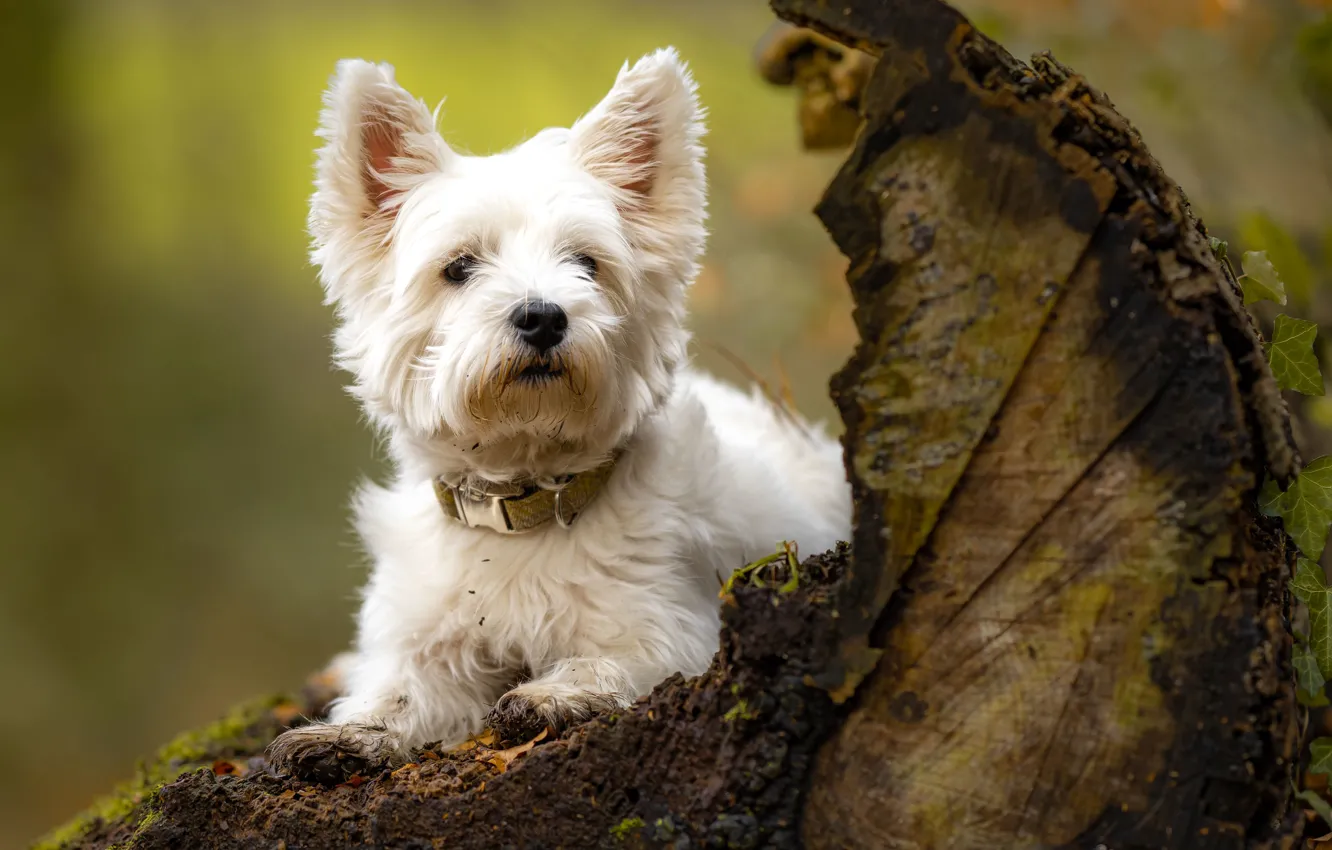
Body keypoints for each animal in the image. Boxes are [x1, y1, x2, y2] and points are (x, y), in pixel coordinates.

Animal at [267, 49, 852, 778]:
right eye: (459, 266)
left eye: (586, 264)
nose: (543, 316)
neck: (521, 504)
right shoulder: (427, 640)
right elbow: (397, 691)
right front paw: (347, 731)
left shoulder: (667, 624)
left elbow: (611, 662)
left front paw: (552, 694)